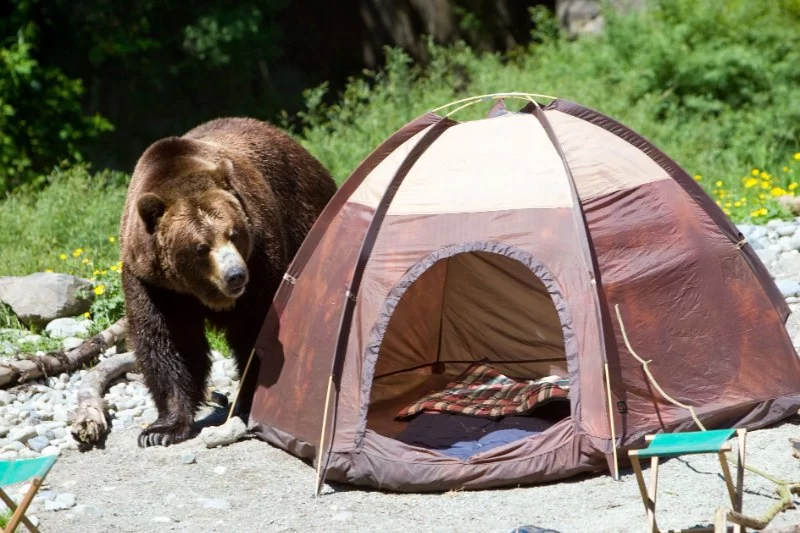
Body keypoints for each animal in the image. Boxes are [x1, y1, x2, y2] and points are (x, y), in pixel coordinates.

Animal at [120, 117, 337, 447]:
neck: (199, 290)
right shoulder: (153, 283)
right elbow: (167, 342)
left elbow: (255, 331)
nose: (235, 274)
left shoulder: (261, 260)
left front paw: (251, 402)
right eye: (200, 246)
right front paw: (161, 429)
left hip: (305, 220)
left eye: (233, 232)